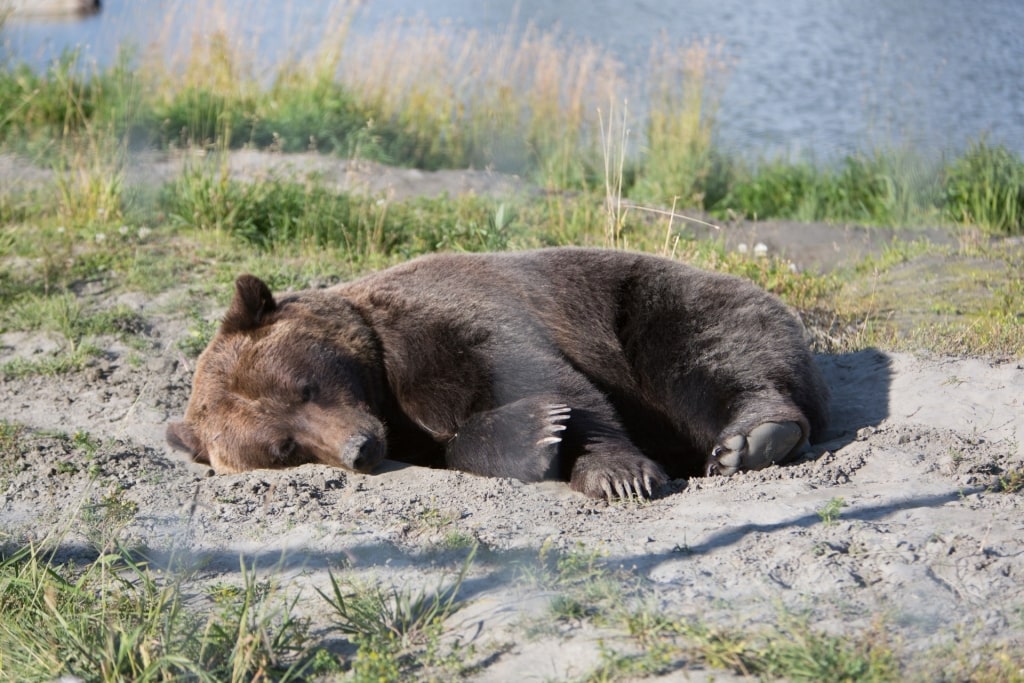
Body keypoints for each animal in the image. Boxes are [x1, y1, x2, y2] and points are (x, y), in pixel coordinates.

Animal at [163, 248, 827, 499]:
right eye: (283, 447)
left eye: (305, 385)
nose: (359, 447)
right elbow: (468, 437)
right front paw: (538, 435)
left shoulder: (442, 322)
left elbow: (551, 380)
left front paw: (616, 472)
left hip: (652, 303)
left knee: (705, 356)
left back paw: (753, 438)